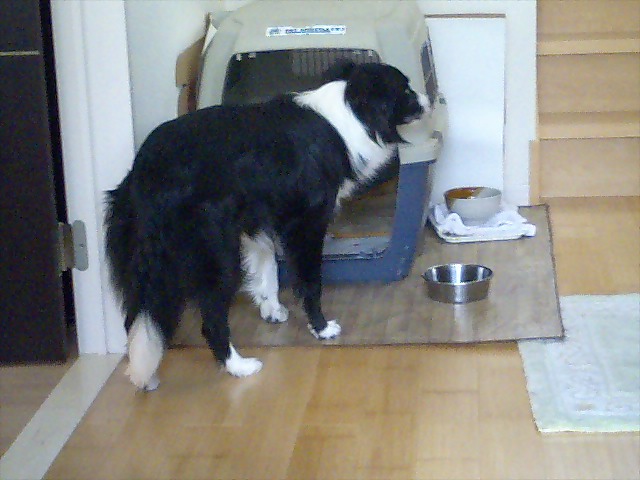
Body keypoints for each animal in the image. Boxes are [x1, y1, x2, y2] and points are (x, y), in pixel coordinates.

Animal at [105, 62, 429, 390]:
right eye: (405, 90)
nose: (430, 100)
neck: (350, 112)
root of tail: (144, 171)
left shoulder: (257, 222)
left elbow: (267, 269)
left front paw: (271, 309)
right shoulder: (307, 224)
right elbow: (310, 283)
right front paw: (322, 328)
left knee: (136, 317)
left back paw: (146, 375)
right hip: (215, 254)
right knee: (210, 318)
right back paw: (239, 366)